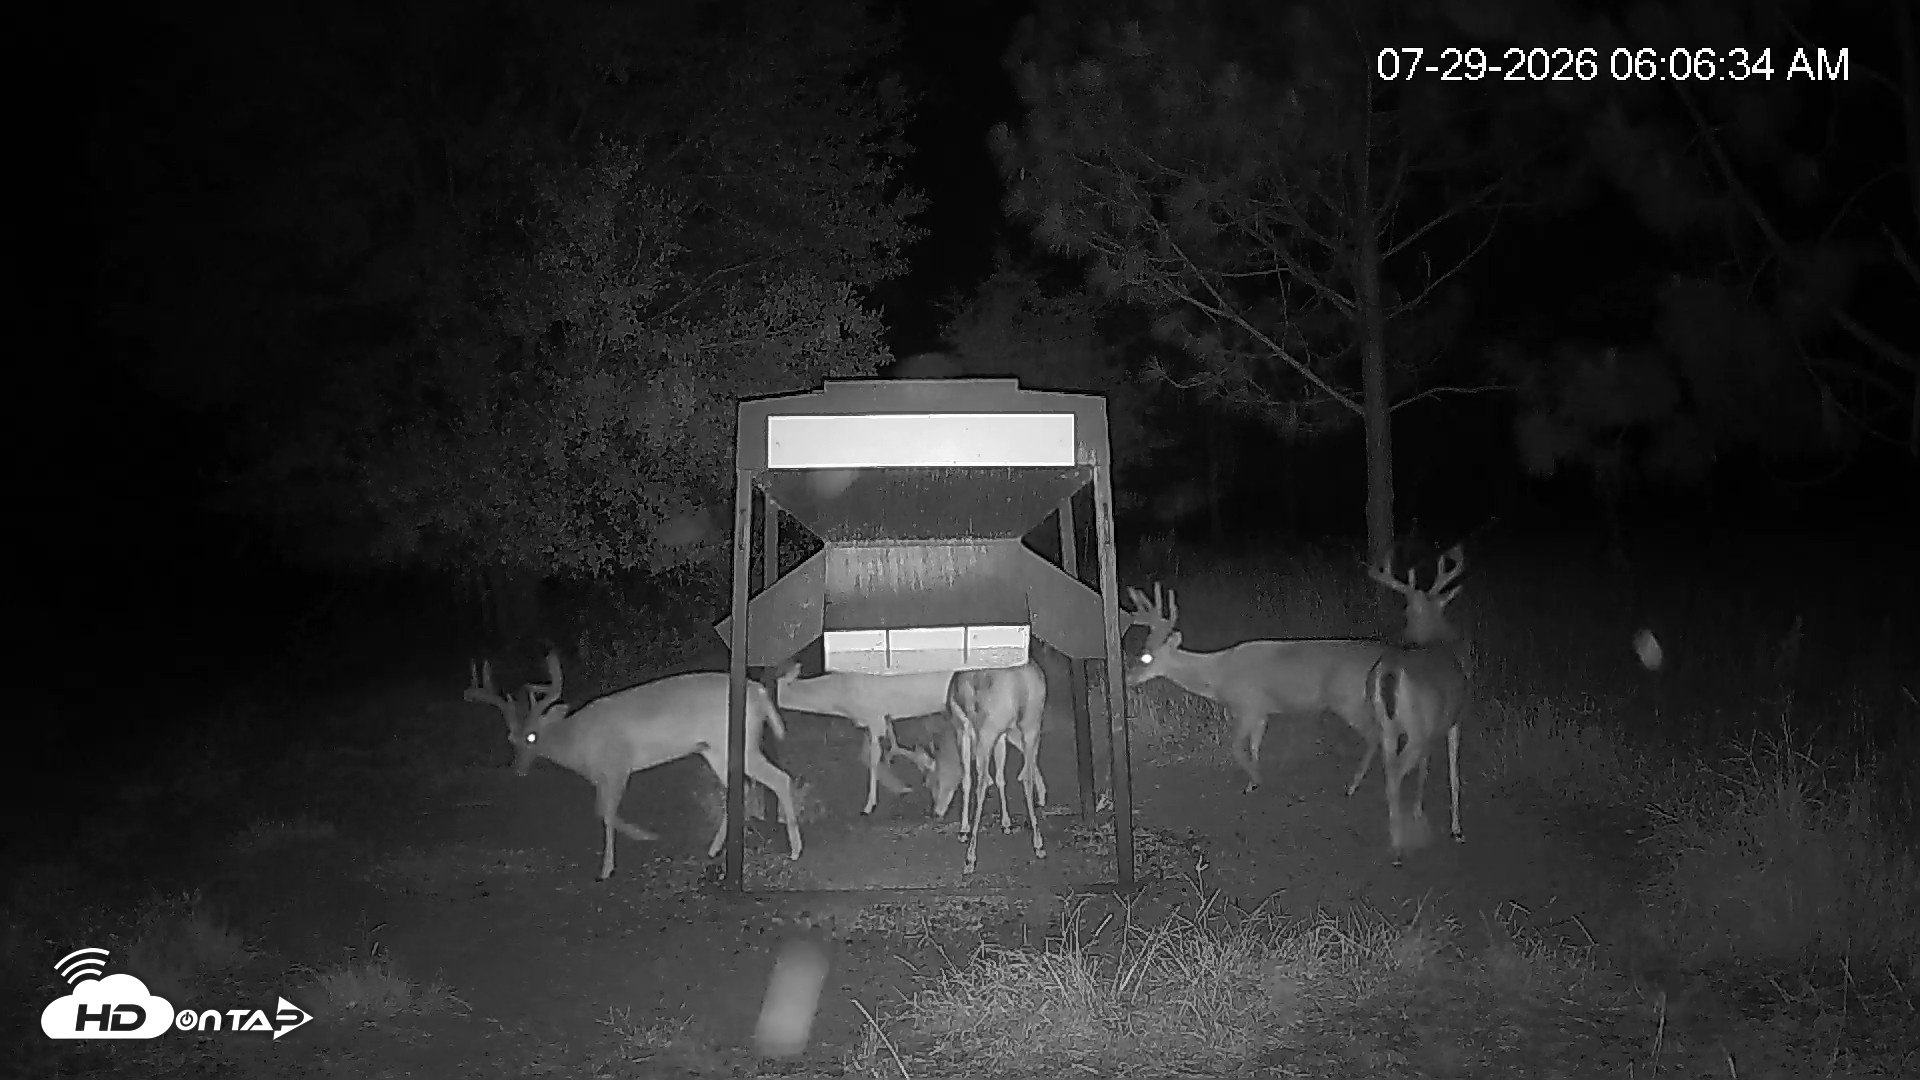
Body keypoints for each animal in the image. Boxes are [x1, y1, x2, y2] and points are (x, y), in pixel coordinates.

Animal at [464, 652, 803, 880]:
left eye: (532, 737)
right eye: (511, 738)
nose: (517, 769)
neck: (579, 743)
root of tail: (760, 692)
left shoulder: (619, 765)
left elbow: (606, 813)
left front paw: (608, 866)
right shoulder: (600, 776)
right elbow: (600, 810)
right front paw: (641, 836)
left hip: (739, 744)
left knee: (780, 778)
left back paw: (795, 850)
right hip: (715, 751)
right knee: (743, 785)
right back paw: (714, 848)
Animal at [771, 663, 953, 815]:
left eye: (775, 687)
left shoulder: (874, 717)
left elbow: (874, 758)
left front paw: (869, 805)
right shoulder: (883, 718)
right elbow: (892, 743)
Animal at [942, 661, 1049, 876]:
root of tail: (1019, 680)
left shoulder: (963, 730)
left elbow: (967, 780)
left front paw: (963, 830)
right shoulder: (1002, 736)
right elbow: (1000, 776)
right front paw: (1006, 823)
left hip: (987, 734)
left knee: (981, 784)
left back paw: (970, 859)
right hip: (1030, 727)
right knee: (1026, 774)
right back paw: (1039, 844)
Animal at [1122, 544, 1468, 800]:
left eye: (1146, 656)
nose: (1127, 679)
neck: (1217, 675)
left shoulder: (1248, 705)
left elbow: (1236, 747)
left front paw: (1254, 780)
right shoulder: (1261, 710)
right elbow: (1254, 745)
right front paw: (1254, 780)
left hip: (1348, 700)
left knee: (1374, 736)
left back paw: (1353, 785)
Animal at [1365, 546, 1472, 865]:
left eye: (1405, 609)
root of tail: (1389, 673)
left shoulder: (1433, 726)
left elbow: (1425, 767)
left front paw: (1417, 809)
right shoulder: (1455, 719)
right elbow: (1453, 773)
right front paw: (1456, 829)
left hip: (1388, 727)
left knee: (1389, 770)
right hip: (1414, 729)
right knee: (1396, 773)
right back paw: (1398, 847)